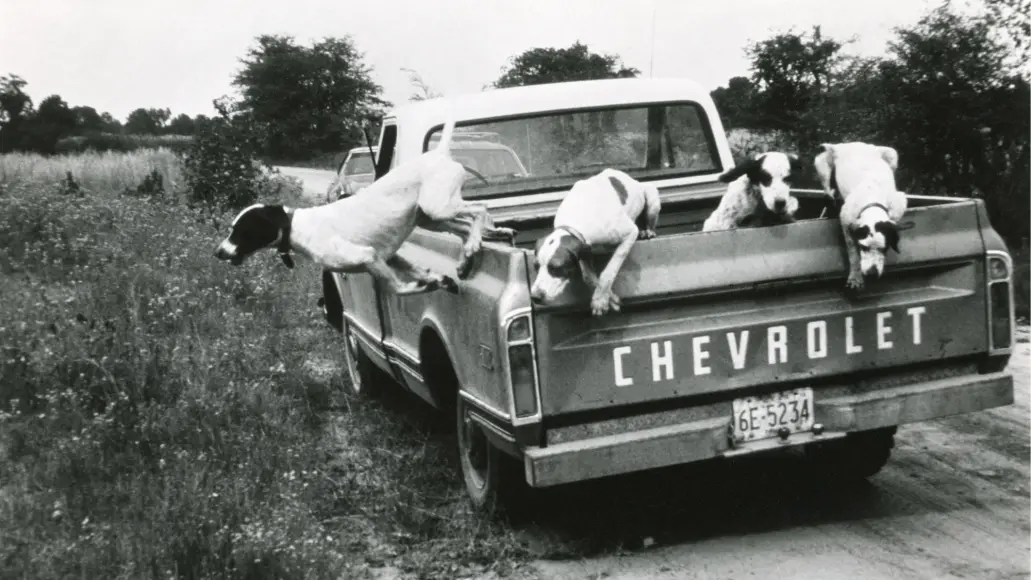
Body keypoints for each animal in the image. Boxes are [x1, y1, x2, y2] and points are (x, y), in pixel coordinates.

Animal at [531, 167, 659, 317]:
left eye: (556, 268)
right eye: (535, 267)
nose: (535, 297)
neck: (575, 219)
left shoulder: (630, 233)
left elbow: (608, 272)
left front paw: (600, 300)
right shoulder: (584, 248)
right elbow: (588, 277)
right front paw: (608, 298)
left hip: (652, 196)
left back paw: (648, 231)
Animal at [816, 143, 907, 292]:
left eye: (884, 248)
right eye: (863, 247)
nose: (872, 273)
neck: (872, 197)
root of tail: (850, 144)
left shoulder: (899, 203)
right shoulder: (846, 222)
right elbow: (853, 254)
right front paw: (855, 278)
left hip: (892, 155)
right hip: (822, 165)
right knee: (827, 188)